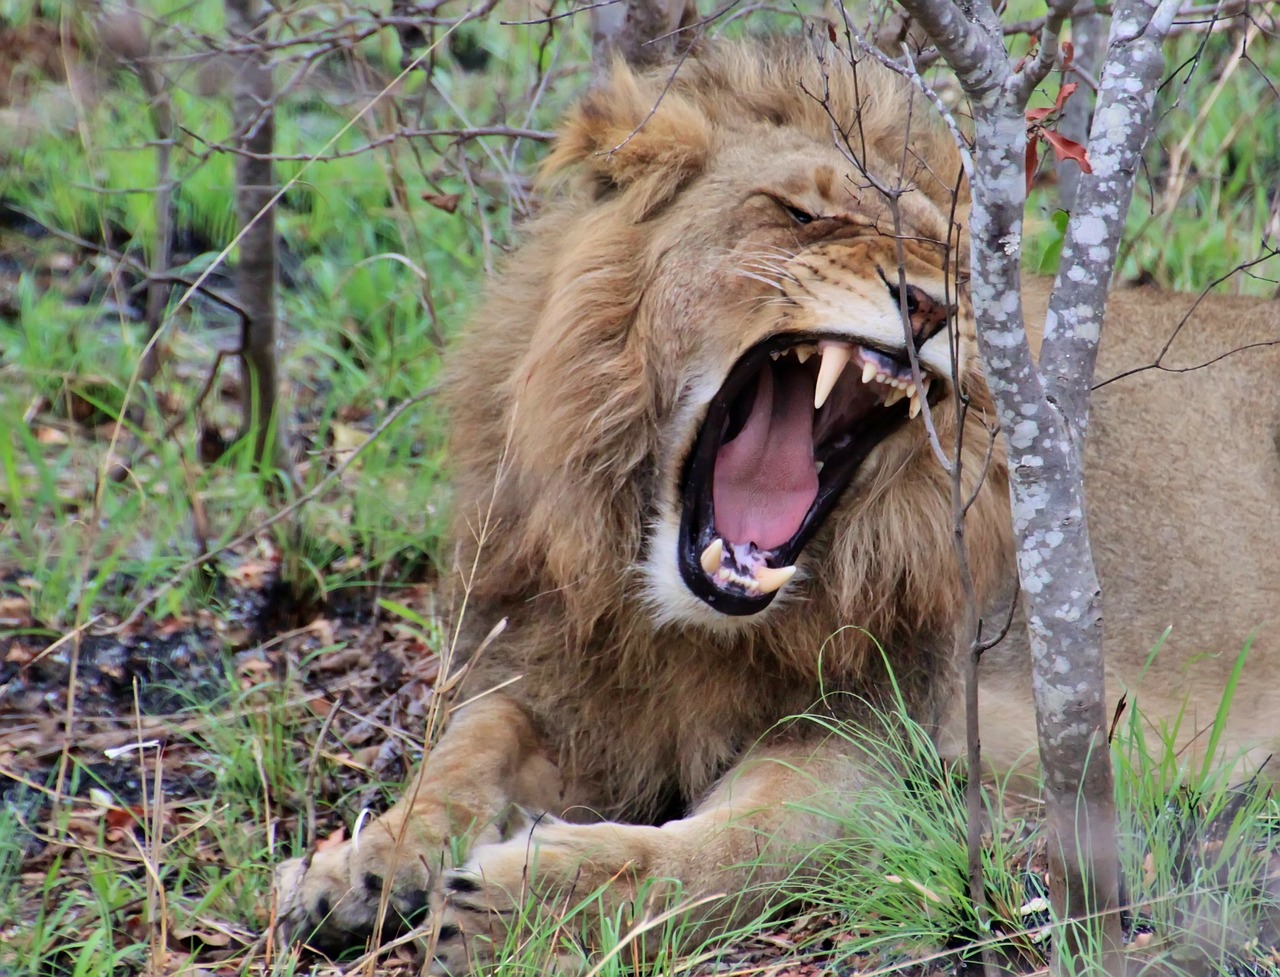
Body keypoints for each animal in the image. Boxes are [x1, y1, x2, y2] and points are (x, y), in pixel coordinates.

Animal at [272, 32, 1280, 973]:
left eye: (953, 262)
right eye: (804, 213)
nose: (931, 305)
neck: (664, 617)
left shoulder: (882, 745)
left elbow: (733, 851)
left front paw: (520, 904)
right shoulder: (560, 678)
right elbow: (468, 744)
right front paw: (362, 863)